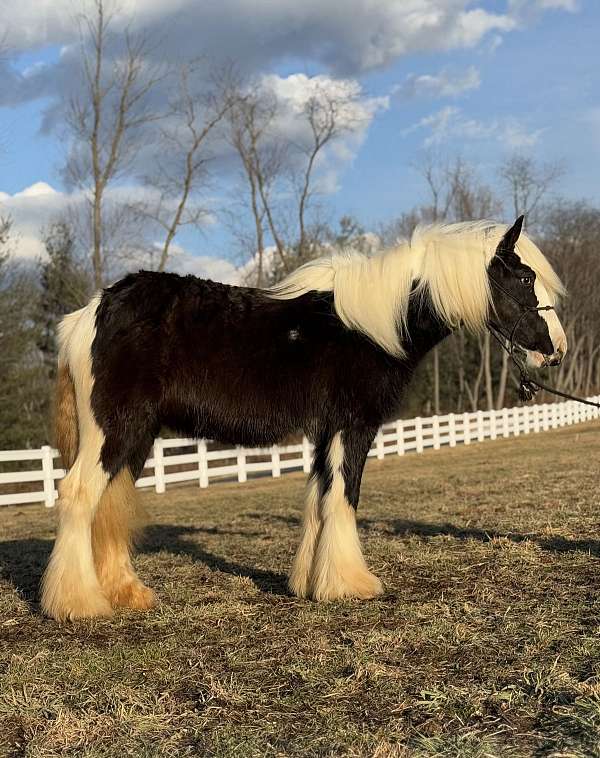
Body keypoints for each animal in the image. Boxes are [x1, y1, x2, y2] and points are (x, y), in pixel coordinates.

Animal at [42, 217, 568, 620]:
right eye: (525, 279)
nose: (556, 350)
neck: (371, 328)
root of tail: (88, 315)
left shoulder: (325, 431)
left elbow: (319, 497)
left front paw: (310, 584)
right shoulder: (353, 426)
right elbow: (343, 497)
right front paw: (352, 584)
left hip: (135, 438)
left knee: (110, 503)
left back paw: (128, 594)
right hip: (114, 433)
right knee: (78, 496)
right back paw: (79, 604)